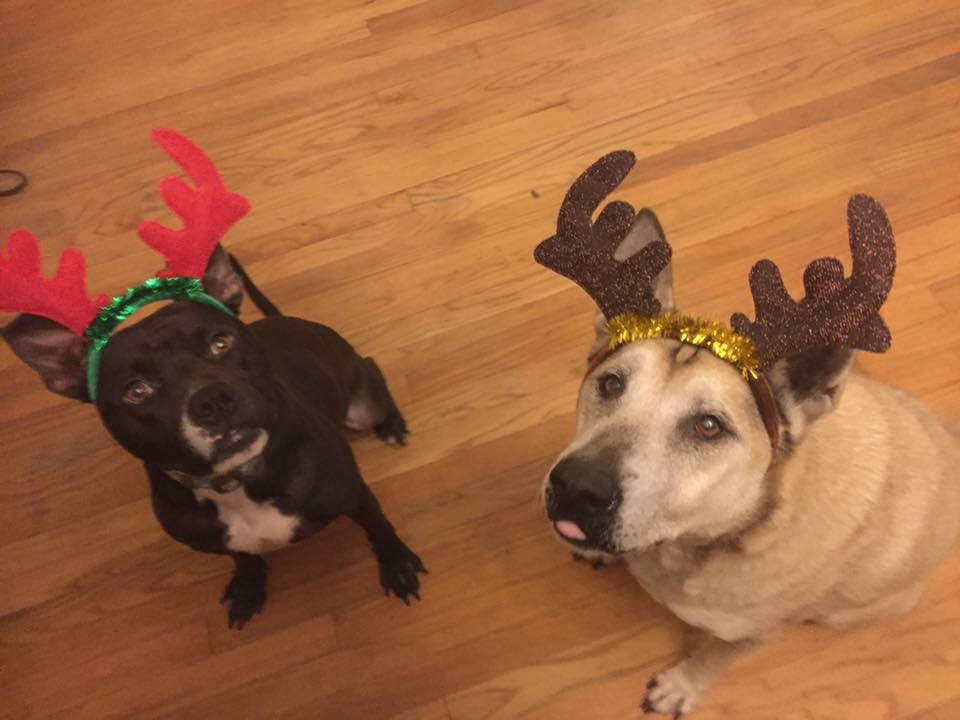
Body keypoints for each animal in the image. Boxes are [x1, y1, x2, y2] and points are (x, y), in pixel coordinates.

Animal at [2, 249, 424, 632]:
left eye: (220, 343)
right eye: (136, 391)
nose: (212, 400)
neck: (237, 483)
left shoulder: (354, 496)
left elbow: (380, 528)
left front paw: (397, 565)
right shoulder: (218, 540)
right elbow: (245, 557)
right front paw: (249, 589)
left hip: (361, 404)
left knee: (372, 376)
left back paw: (392, 425)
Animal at [536, 152, 960, 716]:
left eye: (708, 426)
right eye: (611, 383)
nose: (576, 488)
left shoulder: (751, 632)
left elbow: (716, 659)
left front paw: (682, 686)